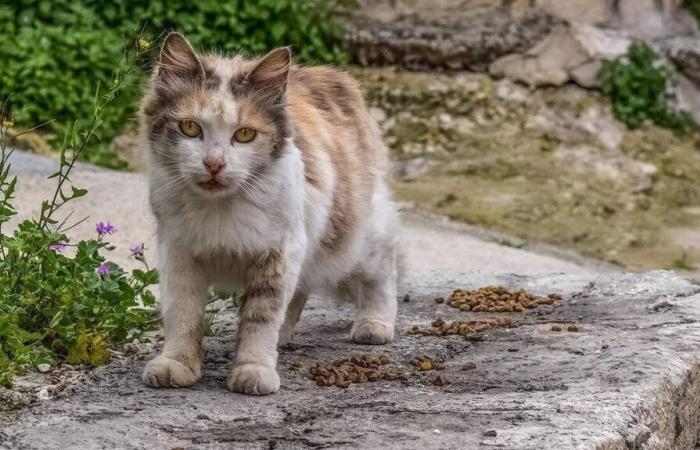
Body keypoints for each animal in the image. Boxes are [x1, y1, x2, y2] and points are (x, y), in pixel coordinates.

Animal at [139, 33, 400, 396]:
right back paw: (286, 338)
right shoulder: (179, 254)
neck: (219, 209)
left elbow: (259, 320)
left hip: (358, 238)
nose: (214, 164)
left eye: (244, 134)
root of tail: (333, 76)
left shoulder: (278, 254)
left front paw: (253, 369)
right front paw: (177, 364)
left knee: (382, 273)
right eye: (190, 128)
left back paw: (375, 324)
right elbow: (182, 314)